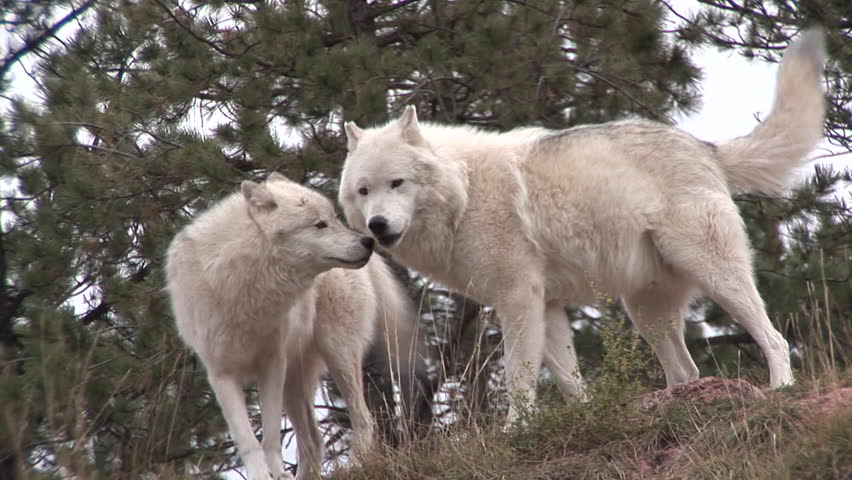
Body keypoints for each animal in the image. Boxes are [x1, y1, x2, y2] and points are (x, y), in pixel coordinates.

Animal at [165, 173, 418, 480]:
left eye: (334, 218)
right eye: (319, 225)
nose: (368, 240)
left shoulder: (272, 365)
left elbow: (271, 436)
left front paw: (275, 472)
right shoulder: (221, 374)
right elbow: (248, 440)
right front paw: (262, 475)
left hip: (336, 353)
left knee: (363, 419)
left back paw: (356, 467)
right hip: (296, 379)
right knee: (313, 440)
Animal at [340, 29, 824, 424]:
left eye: (397, 183)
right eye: (363, 191)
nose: (377, 226)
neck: (466, 192)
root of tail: (704, 146)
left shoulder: (519, 299)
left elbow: (518, 378)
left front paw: (515, 433)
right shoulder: (547, 305)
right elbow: (571, 382)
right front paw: (586, 418)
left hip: (715, 276)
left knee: (774, 339)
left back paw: (781, 388)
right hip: (646, 310)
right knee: (686, 369)